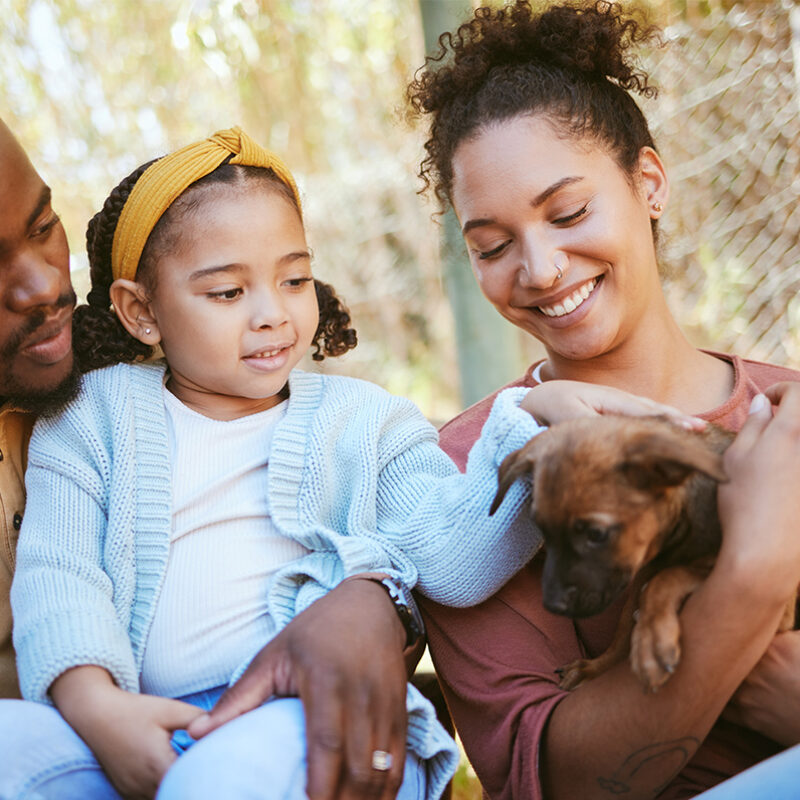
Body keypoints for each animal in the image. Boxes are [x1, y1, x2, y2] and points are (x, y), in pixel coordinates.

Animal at [490, 416, 796, 692]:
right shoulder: (640, 572)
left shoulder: (776, 601)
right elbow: (624, 625)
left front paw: (651, 641)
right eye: (541, 529)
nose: (552, 606)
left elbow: (665, 580)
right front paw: (593, 668)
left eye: (596, 534)